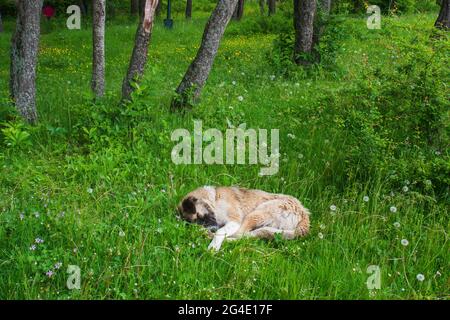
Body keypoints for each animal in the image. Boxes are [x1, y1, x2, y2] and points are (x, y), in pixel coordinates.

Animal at [178, 186, 312, 251]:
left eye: (200, 217)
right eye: (194, 222)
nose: (210, 228)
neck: (215, 198)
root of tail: (304, 217)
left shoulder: (234, 221)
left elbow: (220, 232)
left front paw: (213, 247)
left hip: (257, 213)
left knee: (242, 235)